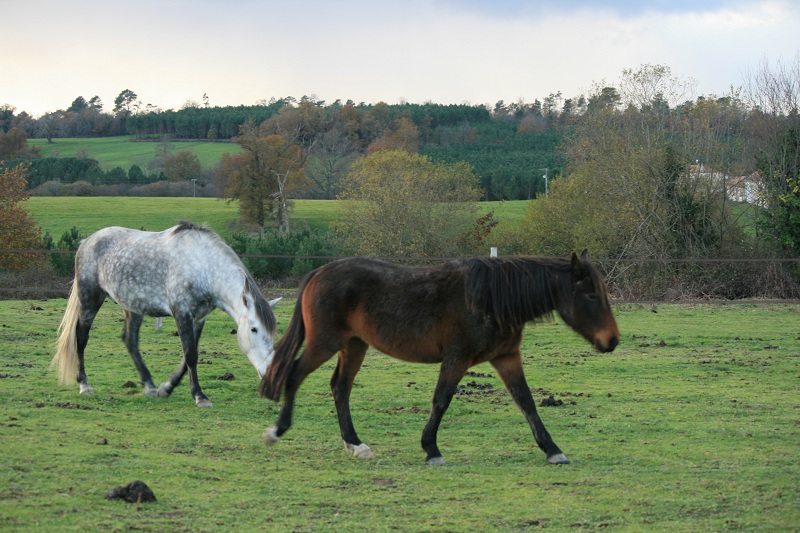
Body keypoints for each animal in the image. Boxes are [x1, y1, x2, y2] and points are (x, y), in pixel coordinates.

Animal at [50, 221, 278, 408]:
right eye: (254, 329)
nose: (269, 372)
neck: (202, 266)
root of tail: (87, 241)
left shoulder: (199, 318)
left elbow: (187, 358)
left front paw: (166, 389)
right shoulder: (182, 313)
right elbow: (191, 355)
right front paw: (200, 396)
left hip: (133, 307)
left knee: (130, 341)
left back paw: (149, 385)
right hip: (90, 300)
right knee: (81, 338)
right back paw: (84, 385)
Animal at [260, 251, 620, 464]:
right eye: (590, 295)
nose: (612, 340)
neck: (492, 299)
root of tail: (318, 272)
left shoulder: (507, 358)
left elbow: (526, 402)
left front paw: (553, 449)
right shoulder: (457, 359)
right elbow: (441, 400)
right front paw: (431, 449)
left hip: (354, 346)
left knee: (340, 388)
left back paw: (355, 444)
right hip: (325, 344)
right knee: (294, 376)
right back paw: (278, 431)